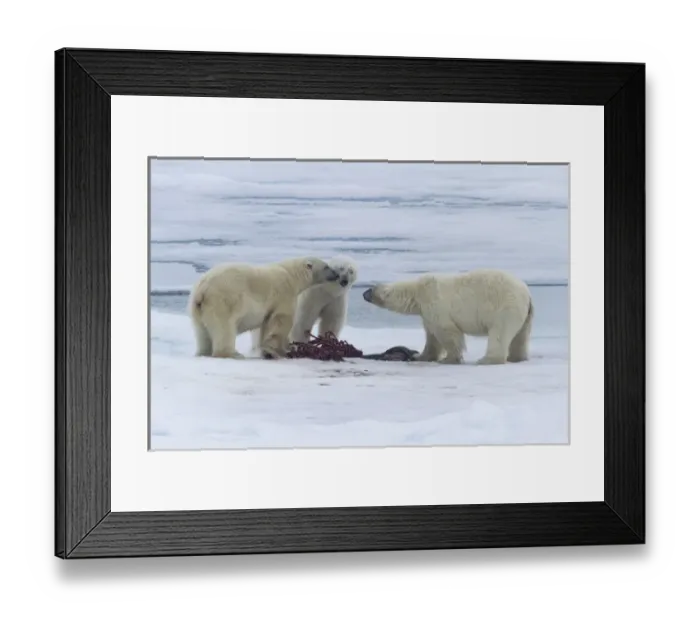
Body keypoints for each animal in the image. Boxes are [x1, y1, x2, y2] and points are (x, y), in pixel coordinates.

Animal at [188, 256, 339, 360]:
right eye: (326, 267)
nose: (337, 274)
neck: (290, 274)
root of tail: (203, 289)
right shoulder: (284, 293)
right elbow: (280, 319)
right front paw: (278, 350)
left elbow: (266, 323)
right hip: (223, 301)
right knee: (224, 328)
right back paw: (232, 354)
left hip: (196, 307)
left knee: (201, 332)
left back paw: (203, 353)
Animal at [362, 268, 534, 365]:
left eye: (371, 290)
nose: (364, 293)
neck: (417, 292)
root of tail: (527, 294)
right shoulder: (427, 314)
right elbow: (432, 337)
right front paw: (421, 356)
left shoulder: (435, 304)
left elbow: (448, 333)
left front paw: (449, 359)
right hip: (524, 315)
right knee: (520, 336)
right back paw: (516, 357)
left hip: (505, 307)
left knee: (499, 333)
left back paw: (487, 360)